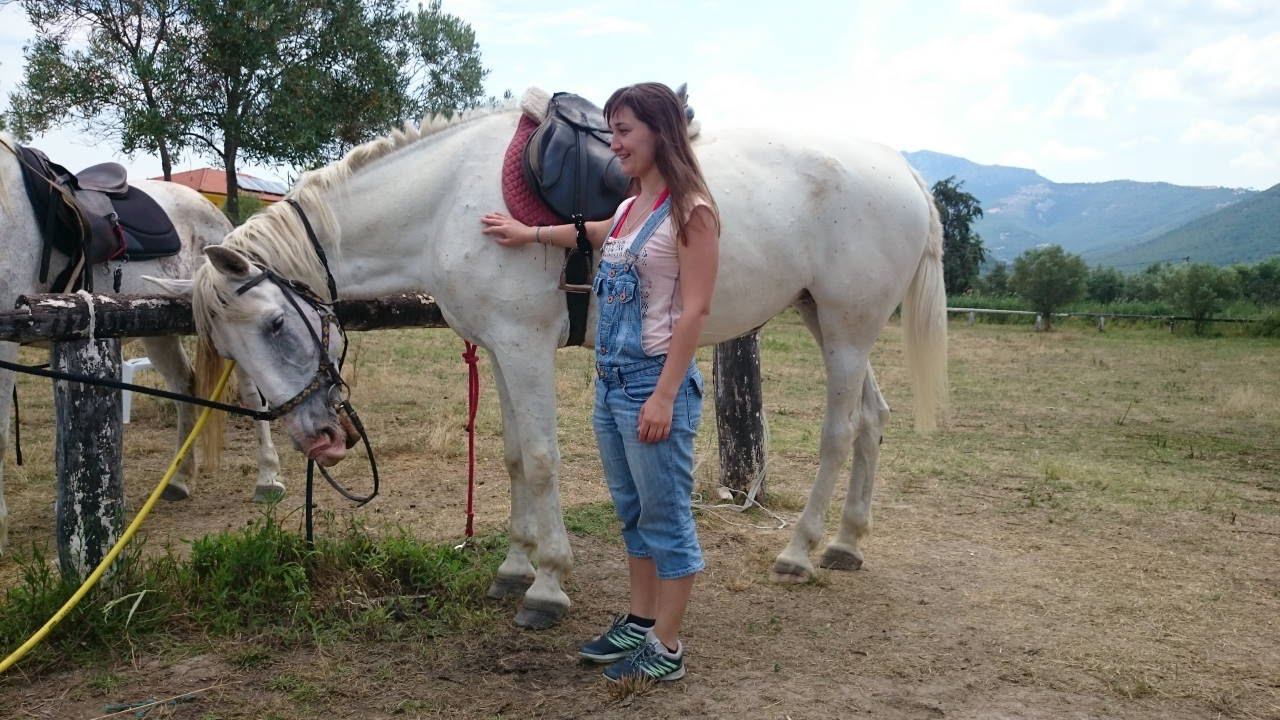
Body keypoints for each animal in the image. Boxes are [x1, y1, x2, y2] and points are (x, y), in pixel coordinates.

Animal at [0, 132, 285, 556]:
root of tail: (218, 217)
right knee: (185, 385)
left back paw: (267, 478)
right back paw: (179, 480)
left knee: (252, 395)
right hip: (158, 330)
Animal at [147, 100, 948, 629]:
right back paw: (845, 543)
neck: (447, 201)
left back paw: (800, 551)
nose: (319, 436)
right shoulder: (502, 347)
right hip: (827, 320)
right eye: (233, 348)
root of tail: (903, 171)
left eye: (277, 322)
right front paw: (513, 567)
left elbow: (539, 458)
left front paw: (548, 585)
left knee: (840, 432)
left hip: (845, 327)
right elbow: (509, 457)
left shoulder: (525, 344)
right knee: (873, 420)